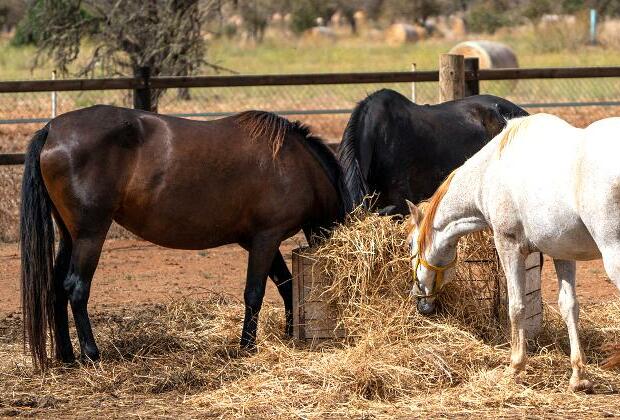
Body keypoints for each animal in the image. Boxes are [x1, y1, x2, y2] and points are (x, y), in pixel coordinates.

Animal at [404, 113, 620, 392]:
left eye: (410, 244)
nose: (420, 301)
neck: (489, 173)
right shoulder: (562, 253)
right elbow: (569, 306)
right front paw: (578, 376)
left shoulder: (508, 246)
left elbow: (516, 306)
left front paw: (515, 367)